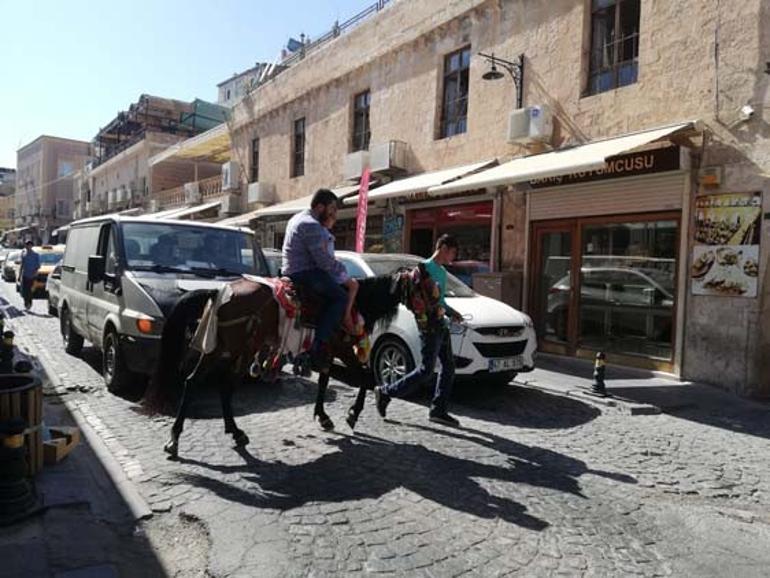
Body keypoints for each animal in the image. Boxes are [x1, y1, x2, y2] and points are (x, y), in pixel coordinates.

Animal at [160, 266, 438, 460]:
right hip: (235, 349)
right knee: (209, 384)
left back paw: (215, 434)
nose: (439, 317)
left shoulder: (328, 350)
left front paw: (324, 416)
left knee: (208, 384)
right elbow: (366, 377)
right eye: (425, 288)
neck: (356, 303)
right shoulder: (344, 349)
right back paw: (188, 439)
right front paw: (352, 414)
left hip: (227, 349)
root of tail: (219, 292)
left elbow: (325, 380)